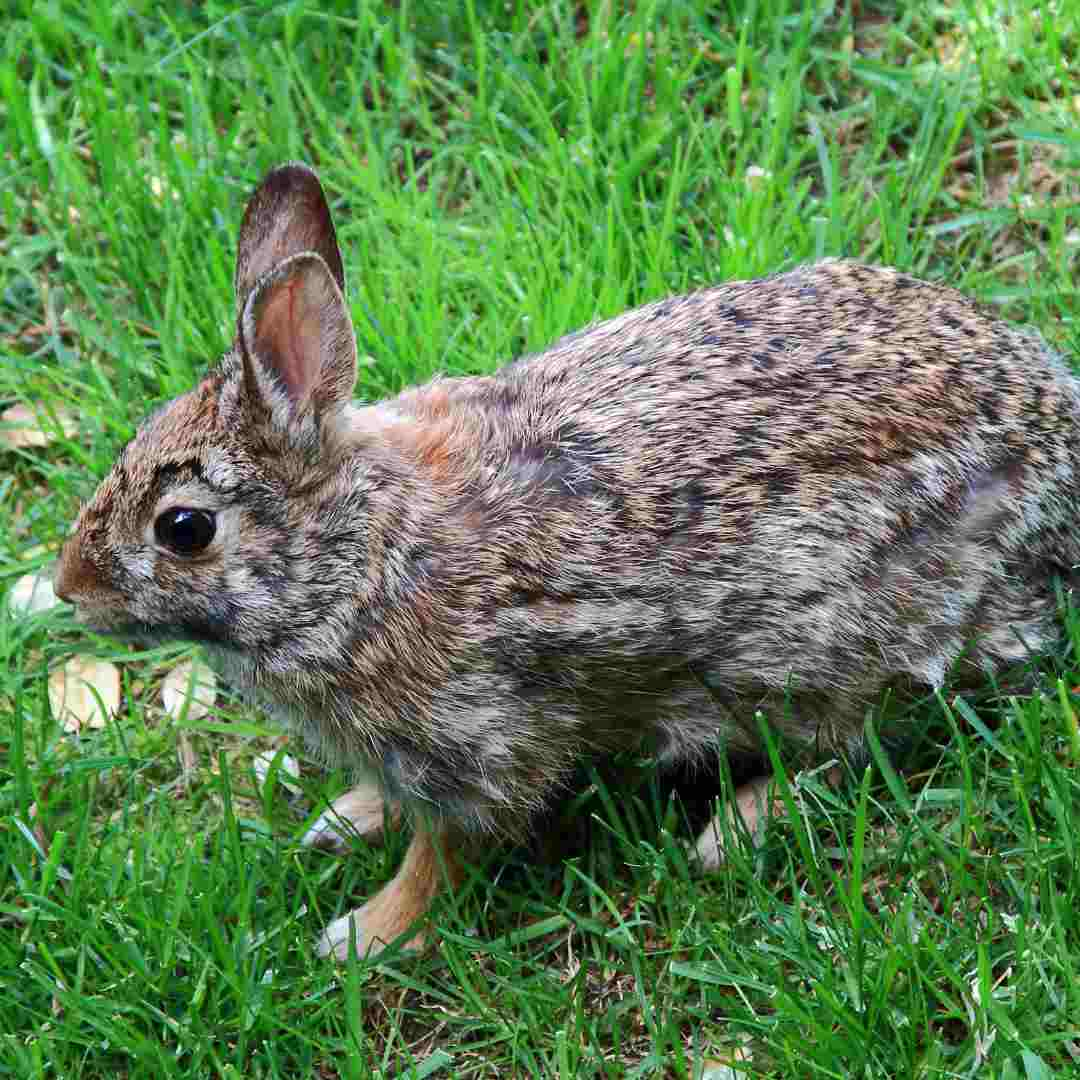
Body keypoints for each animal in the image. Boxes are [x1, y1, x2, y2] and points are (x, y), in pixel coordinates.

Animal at [54, 159, 1080, 954]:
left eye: (184, 530)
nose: (70, 591)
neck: (362, 555)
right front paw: (346, 819)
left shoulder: (480, 744)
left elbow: (448, 855)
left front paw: (364, 935)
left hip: (842, 649)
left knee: (881, 738)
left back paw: (739, 827)